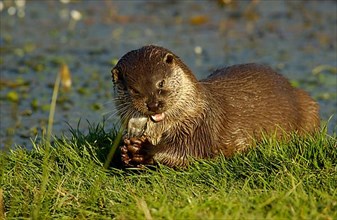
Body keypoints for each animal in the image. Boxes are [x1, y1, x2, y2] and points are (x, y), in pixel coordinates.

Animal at [111, 45, 318, 168]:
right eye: (134, 90)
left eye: (160, 83)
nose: (154, 104)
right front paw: (126, 153)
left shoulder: (200, 127)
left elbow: (186, 152)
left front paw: (144, 150)